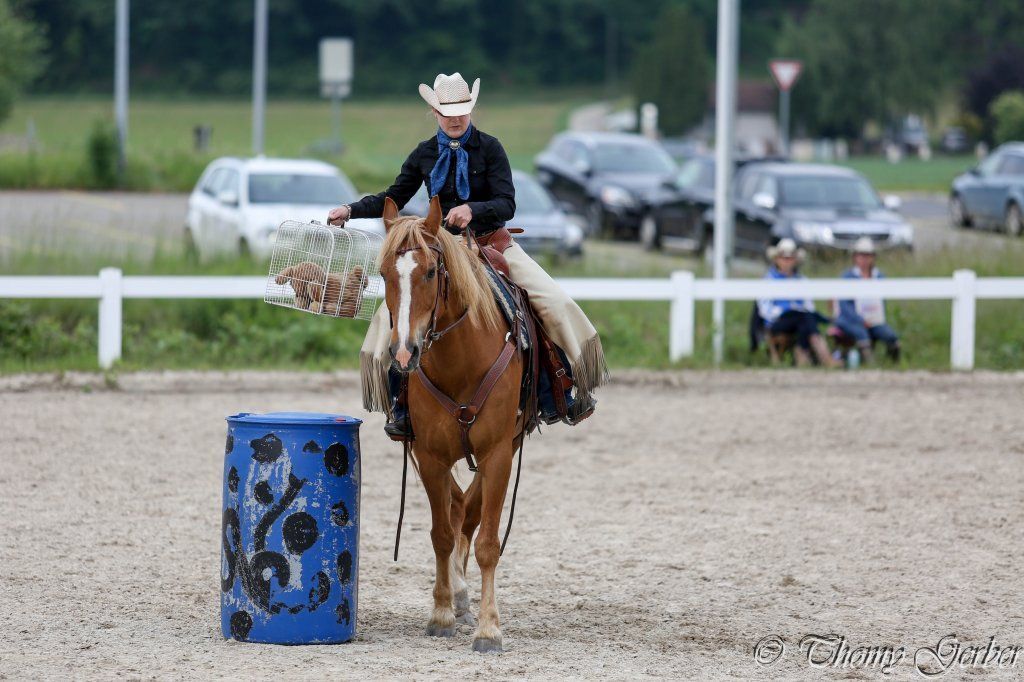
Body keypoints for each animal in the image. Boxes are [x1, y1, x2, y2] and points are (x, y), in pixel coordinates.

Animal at [378, 194, 524, 653]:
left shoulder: (497, 452)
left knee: (471, 511)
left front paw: (489, 628)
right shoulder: (430, 455)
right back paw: (458, 595)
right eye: (383, 273)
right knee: (459, 507)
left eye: (429, 271)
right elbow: (442, 533)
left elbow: (488, 542)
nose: (404, 353)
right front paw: (441, 612)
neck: (462, 361)